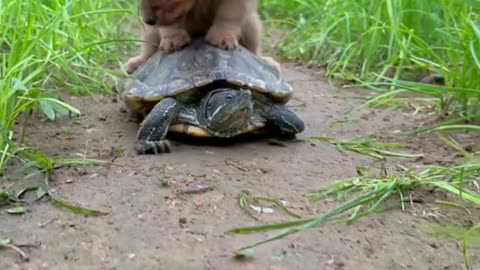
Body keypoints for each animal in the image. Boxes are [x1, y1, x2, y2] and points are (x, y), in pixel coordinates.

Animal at [124, 0, 282, 74]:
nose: (148, 20)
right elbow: (171, 25)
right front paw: (173, 39)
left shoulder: (236, 5)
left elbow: (228, 16)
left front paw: (222, 37)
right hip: (151, 33)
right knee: (148, 51)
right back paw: (137, 64)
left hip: (251, 24)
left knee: (254, 49)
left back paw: (266, 62)